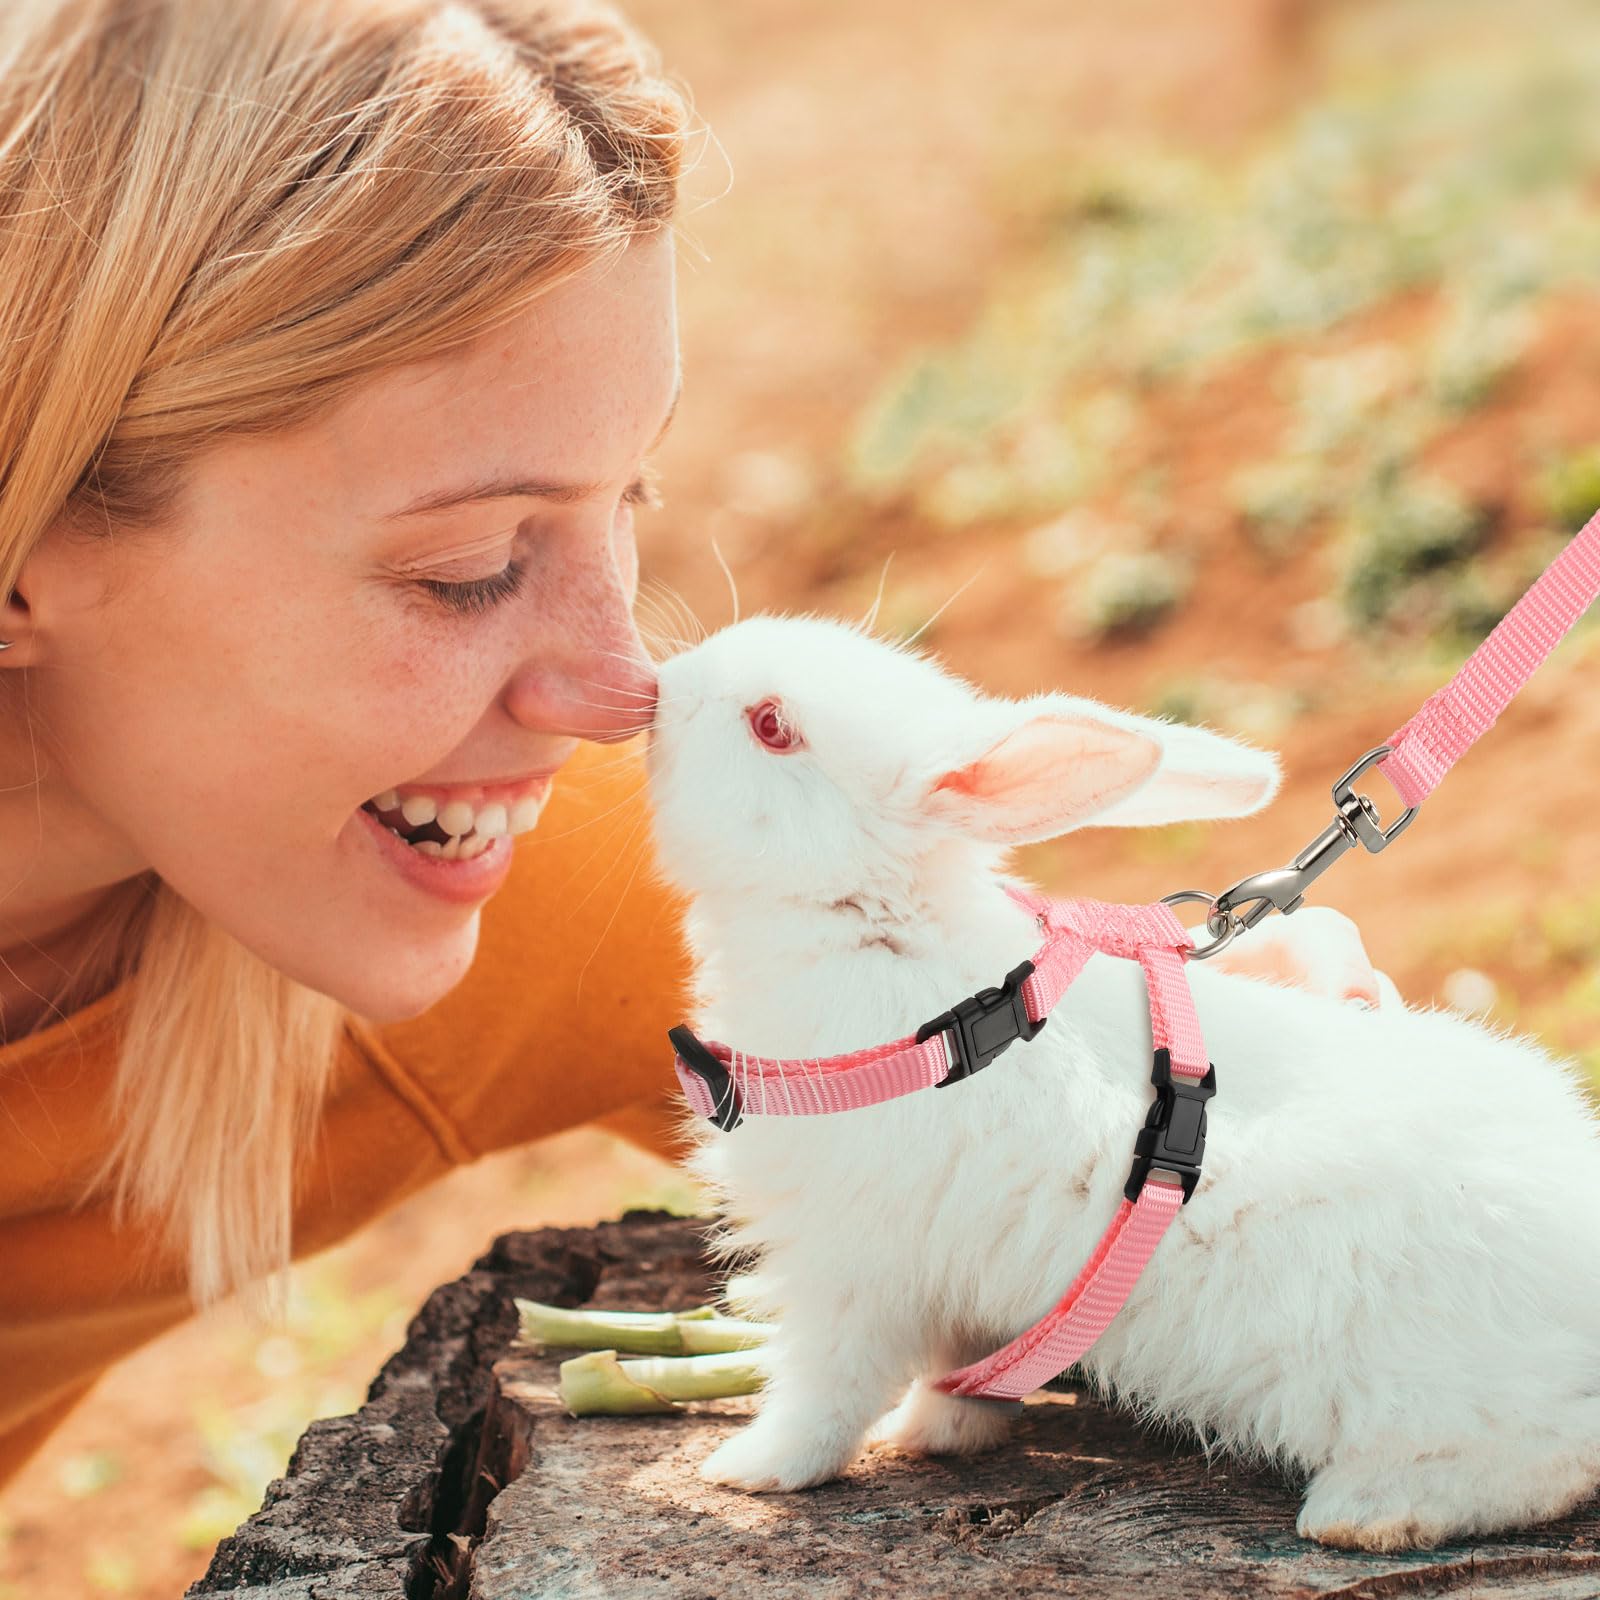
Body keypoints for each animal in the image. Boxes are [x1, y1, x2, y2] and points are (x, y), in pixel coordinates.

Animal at [644, 612, 1600, 1552]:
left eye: (771, 725)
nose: (662, 685)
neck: (874, 927)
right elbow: (959, 1374)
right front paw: (933, 1434)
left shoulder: (850, 1268)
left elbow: (824, 1391)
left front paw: (753, 1470)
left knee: (1550, 1453)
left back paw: (1368, 1513)